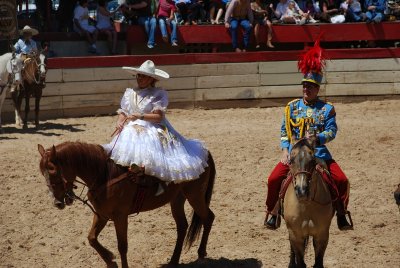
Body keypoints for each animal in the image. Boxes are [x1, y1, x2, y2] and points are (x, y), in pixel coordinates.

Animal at [38, 141, 216, 266]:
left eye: (53, 170)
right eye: (42, 172)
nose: (57, 202)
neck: (106, 175)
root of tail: (205, 152)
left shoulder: (120, 216)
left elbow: (122, 246)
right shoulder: (102, 215)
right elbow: (91, 238)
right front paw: (110, 260)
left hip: (195, 196)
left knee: (208, 217)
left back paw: (201, 254)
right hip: (177, 199)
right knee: (182, 226)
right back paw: (173, 261)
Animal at [282, 137, 336, 266]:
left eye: (312, 160)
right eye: (291, 160)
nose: (302, 190)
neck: (307, 206)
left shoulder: (322, 235)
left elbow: (318, 263)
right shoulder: (296, 235)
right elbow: (300, 262)